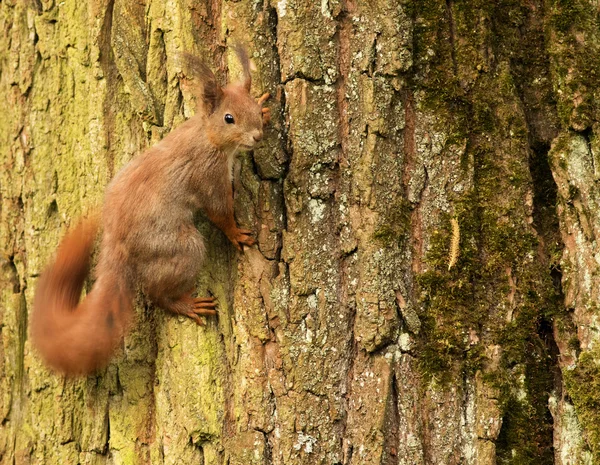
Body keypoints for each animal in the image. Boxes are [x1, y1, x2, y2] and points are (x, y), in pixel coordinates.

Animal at [30, 45, 270, 376]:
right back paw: (184, 304)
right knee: (157, 293)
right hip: (179, 246)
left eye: (254, 108)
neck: (208, 137)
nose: (257, 136)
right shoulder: (209, 176)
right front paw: (237, 234)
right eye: (229, 118)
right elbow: (220, 212)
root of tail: (117, 243)